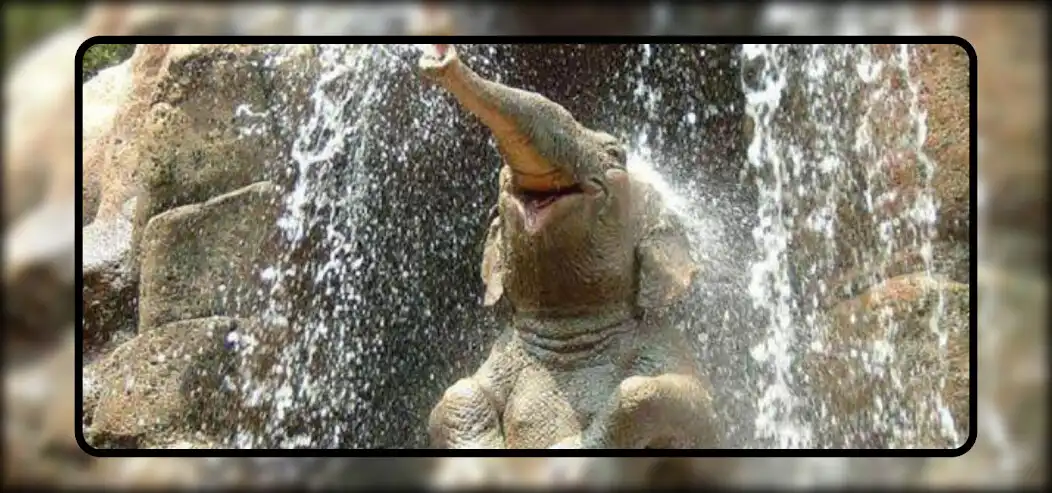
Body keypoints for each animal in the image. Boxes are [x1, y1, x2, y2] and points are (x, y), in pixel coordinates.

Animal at [418, 44, 722, 450]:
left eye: (615, 153)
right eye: (502, 176)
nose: (441, 56)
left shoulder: (664, 350)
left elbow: (673, 401)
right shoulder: (500, 360)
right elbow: (457, 393)